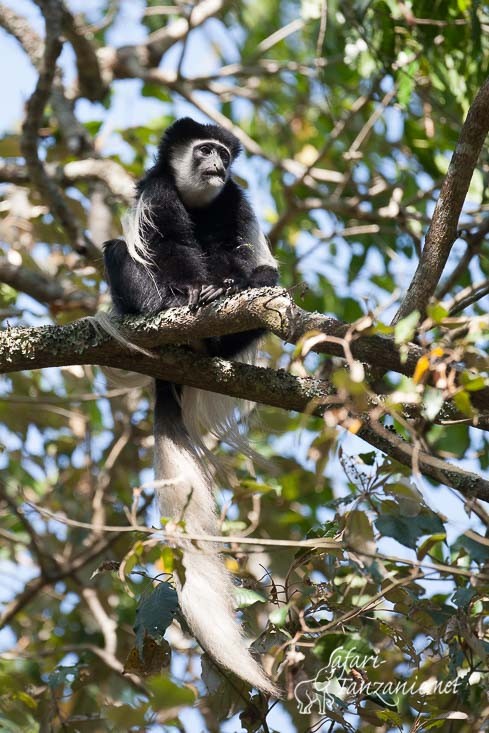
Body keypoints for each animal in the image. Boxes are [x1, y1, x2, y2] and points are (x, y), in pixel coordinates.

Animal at [103, 118, 278, 692]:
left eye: (224, 153)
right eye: (204, 150)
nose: (217, 165)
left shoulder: (235, 200)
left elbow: (233, 246)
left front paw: (230, 283)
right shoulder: (158, 192)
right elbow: (170, 242)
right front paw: (193, 290)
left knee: (258, 274)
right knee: (118, 249)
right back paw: (170, 305)